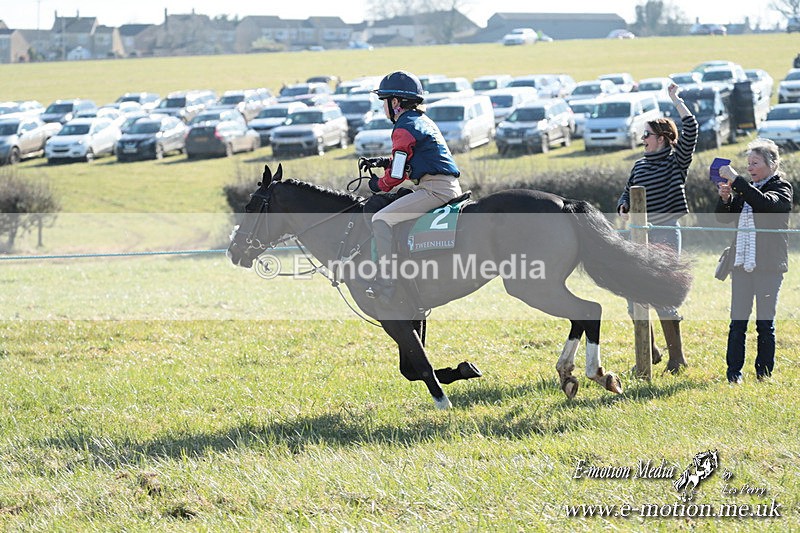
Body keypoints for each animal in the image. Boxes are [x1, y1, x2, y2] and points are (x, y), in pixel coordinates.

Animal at [228, 164, 692, 410]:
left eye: (252, 205)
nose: (234, 250)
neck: (347, 231)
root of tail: (562, 202)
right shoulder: (410, 313)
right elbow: (412, 364)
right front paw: (463, 371)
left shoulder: (393, 314)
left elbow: (417, 365)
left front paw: (443, 401)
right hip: (539, 285)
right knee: (582, 314)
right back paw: (570, 374)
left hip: (532, 286)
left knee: (589, 310)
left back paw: (595, 373)